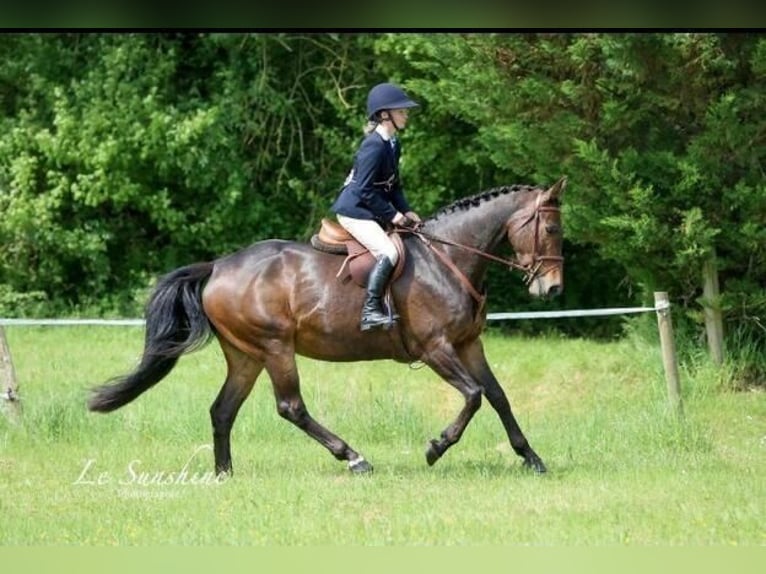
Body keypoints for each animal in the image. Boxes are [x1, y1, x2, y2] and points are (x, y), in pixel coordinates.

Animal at [87, 180, 568, 476]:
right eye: (551, 227)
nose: (553, 288)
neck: (447, 259)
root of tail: (217, 266)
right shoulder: (436, 348)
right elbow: (473, 396)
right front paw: (436, 448)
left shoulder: (468, 344)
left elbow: (497, 395)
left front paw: (531, 458)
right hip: (275, 347)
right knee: (290, 407)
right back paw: (353, 458)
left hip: (245, 355)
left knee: (223, 410)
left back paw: (224, 474)